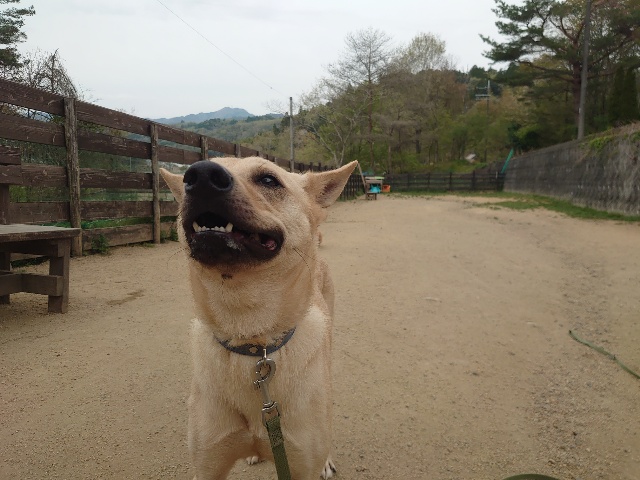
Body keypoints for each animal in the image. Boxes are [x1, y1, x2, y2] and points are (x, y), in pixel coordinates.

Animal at [160, 157, 357, 480]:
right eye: (189, 174)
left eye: (268, 180)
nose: (200, 175)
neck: (251, 336)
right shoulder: (207, 465)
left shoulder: (301, 466)